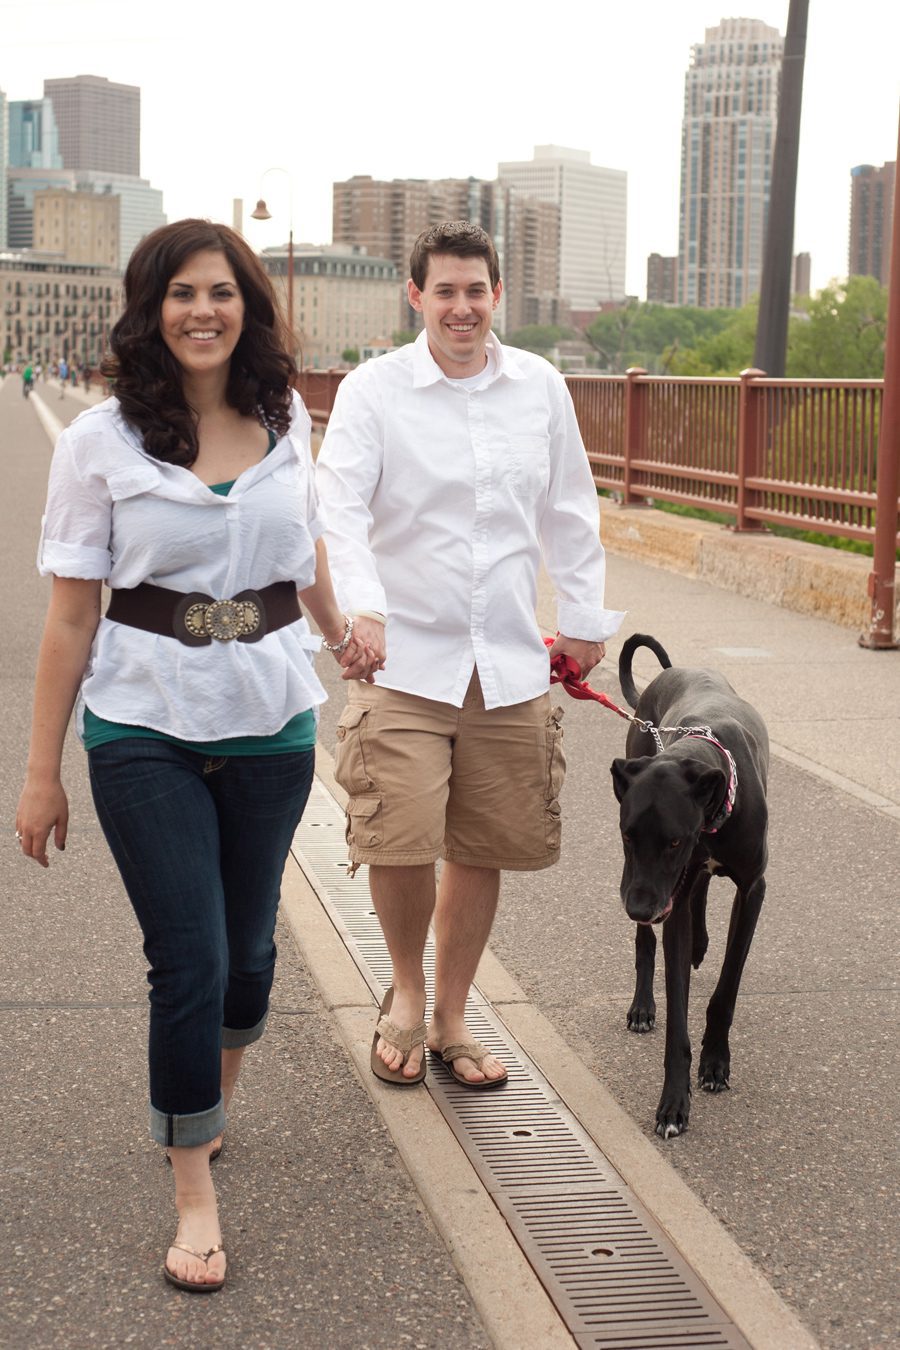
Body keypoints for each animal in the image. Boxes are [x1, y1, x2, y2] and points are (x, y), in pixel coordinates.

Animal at [610, 634, 769, 1139]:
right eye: (628, 835)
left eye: (675, 840)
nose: (638, 908)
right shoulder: (668, 902)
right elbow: (676, 1012)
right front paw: (674, 1103)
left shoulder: (752, 889)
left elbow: (728, 986)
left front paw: (715, 1061)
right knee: (649, 940)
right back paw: (643, 1005)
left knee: (699, 889)